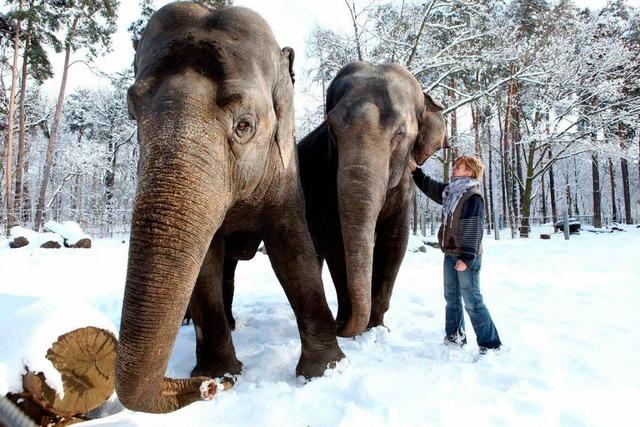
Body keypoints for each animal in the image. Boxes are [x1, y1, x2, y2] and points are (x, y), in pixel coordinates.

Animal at [115, 1, 344, 412]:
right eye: (131, 113)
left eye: (244, 125)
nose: (213, 388)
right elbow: (205, 264)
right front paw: (219, 370)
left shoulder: (284, 172)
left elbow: (293, 251)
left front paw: (325, 370)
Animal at [298, 61, 448, 340]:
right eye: (331, 128)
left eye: (400, 132)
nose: (340, 329)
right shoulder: (322, 181)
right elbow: (334, 242)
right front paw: (345, 323)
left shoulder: (404, 191)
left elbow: (395, 242)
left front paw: (377, 327)